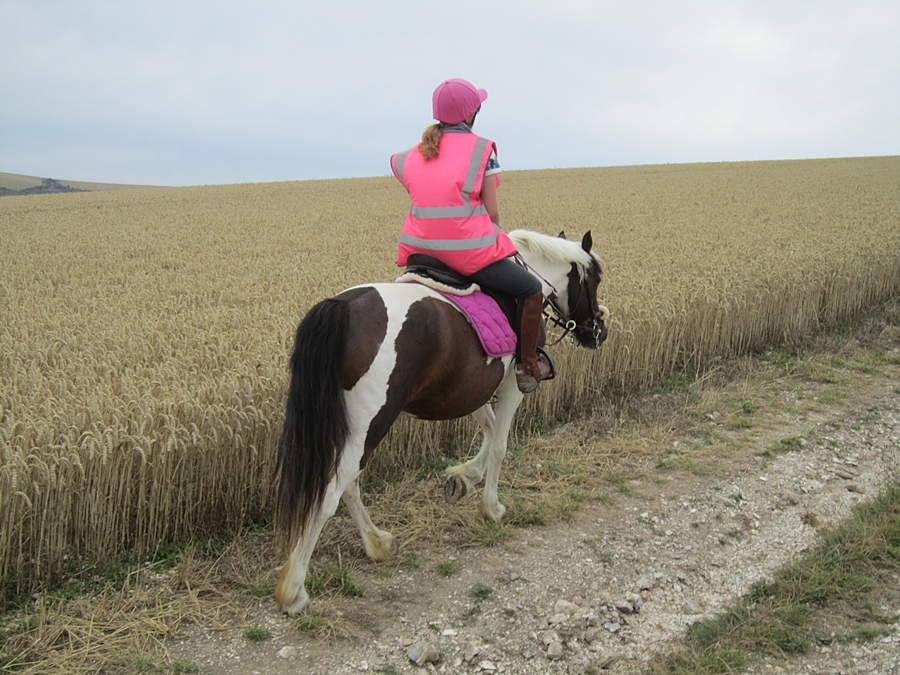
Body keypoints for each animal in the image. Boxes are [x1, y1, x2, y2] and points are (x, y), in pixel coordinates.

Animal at [273, 229, 609, 615]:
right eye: (595, 279)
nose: (598, 333)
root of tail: (342, 307)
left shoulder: (470, 387)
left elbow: (488, 430)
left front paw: (464, 478)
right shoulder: (513, 384)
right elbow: (500, 444)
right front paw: (491, 508)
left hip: (353, 426)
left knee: (348, 484)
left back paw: (377, 542)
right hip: (371, 422)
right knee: (331, 492)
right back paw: (294, 589)